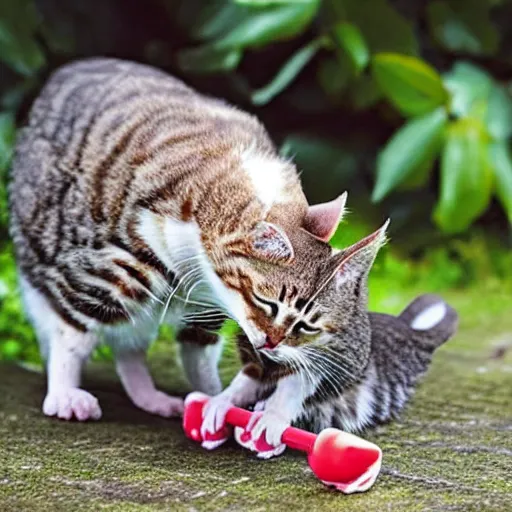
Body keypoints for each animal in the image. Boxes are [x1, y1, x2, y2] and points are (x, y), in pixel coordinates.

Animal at [10, 58, 378, 422]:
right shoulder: (108, 271)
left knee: (130, 345)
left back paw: (150, 397)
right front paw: (64, 393)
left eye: (306, 324)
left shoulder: (205, 308)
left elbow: (199, 352)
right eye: (266, 303)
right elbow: (72, 333)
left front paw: (216, 399)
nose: (272, 344)